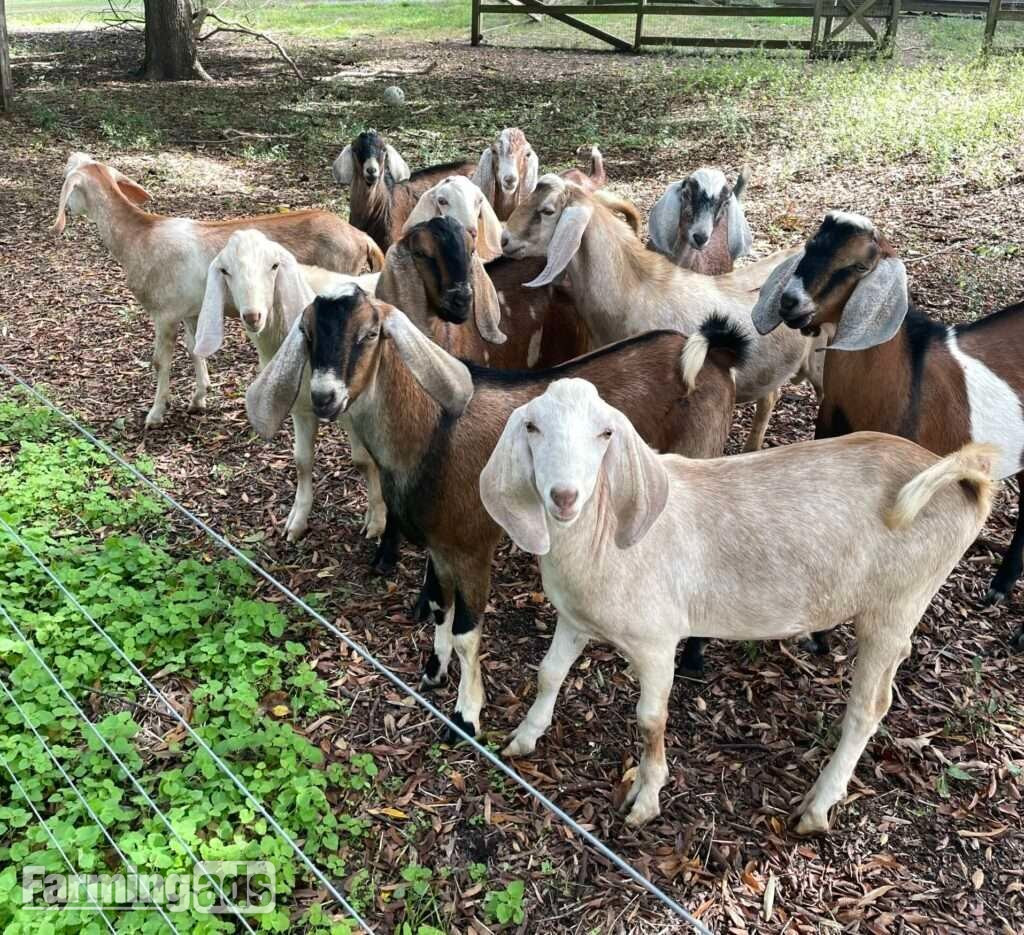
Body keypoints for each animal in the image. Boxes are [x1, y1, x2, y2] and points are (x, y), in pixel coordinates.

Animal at [53, 152, 382, 427]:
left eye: (68, 176)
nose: (66, 211)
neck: (141, 238)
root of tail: (362, 238)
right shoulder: (189, 310)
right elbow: (195, 348)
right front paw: (199, 398)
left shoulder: (164, 313)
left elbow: (160, 361)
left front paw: (155, 414)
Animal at [193, 230, 385, 543]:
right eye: (225, 271)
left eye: (274, 266)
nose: (253, 316)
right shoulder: (301, 408)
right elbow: (302, 460)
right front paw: (297, 521)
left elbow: (364, 460)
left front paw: (377, 520)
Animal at [245, 289, 746, 737]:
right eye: (308, 334)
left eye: (370, 334)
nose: (324, 397)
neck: (431, 432)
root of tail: (711, 355)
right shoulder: (441, 545)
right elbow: (440, 607)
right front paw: (433, 671)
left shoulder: (472, 546)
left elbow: (467, 633)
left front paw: (465, 716)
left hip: (700, 457)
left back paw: (693, 658)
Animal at [480, 378, 994, 831]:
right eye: (532, 427)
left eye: (606, 433)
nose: (565, 497)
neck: (603, 538)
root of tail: (965, 483)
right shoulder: (574, 618)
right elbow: (549, 673)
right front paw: (523, 737)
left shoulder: (656, 640)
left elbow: (650, 720)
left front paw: (645, 800)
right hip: (903, 605)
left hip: (896, 599)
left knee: (869, 707)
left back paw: (817, 806)